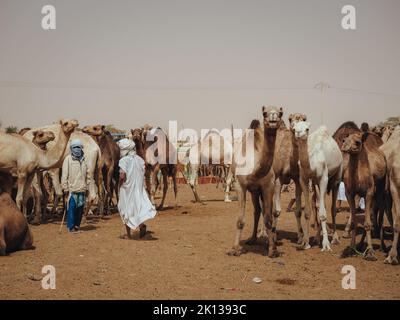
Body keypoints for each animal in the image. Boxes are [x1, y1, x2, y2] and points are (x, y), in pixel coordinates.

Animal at [228, 105, 282, 258]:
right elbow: (240, 220)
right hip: (254, 191)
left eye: (281, 113)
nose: (273, 120)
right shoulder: (240, 185)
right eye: (264, 113)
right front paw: (235, 249)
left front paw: (272, 250)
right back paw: (253, 239)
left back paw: (269, 239)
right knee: (257, 211)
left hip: (272, 185)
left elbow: (269, 218)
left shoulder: (268, 185)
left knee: (269, 211)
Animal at [290, 121, 344, 251]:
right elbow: (308, 212)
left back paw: (335, 238)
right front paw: (305, 242)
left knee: (332, 208)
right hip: (316, 183)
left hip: (337, 176)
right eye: (294, 128)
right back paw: (316, 238)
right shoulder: (303, 179)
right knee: (319, 204)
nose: (298, 133)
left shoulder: (323, 177)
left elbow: (323, 214)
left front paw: (326, 245)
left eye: (307, 129)